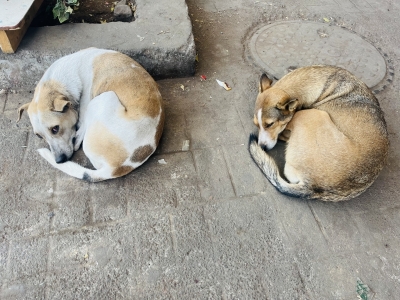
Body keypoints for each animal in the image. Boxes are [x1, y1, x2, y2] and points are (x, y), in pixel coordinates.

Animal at [17, 48, 164, 182]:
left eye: (55, 128)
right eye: (38, 136)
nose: (59, 161)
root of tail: (114, 169)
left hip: (103, 97)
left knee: (79, 139)